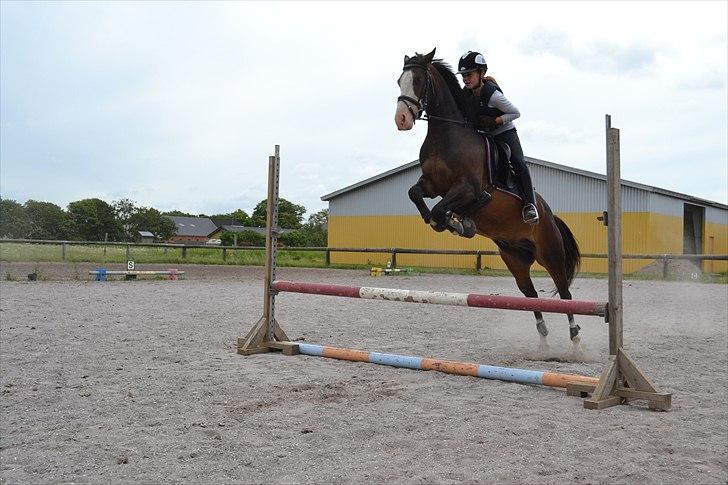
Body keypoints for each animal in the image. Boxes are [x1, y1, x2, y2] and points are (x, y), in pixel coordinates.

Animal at [396, 48, 584, 348]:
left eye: (419, 81)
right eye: (398, 81)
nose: (401, 120)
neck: (446, 135)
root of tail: (549, 214)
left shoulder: (468, 188)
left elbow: (444, 208)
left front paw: (455, 222)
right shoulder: (432, 185)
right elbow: (415, 194)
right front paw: (452, 222)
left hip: (550, 253)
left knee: (564, 292)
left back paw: (575, 337)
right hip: (514, 257)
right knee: (530, 294)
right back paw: (543, 337)